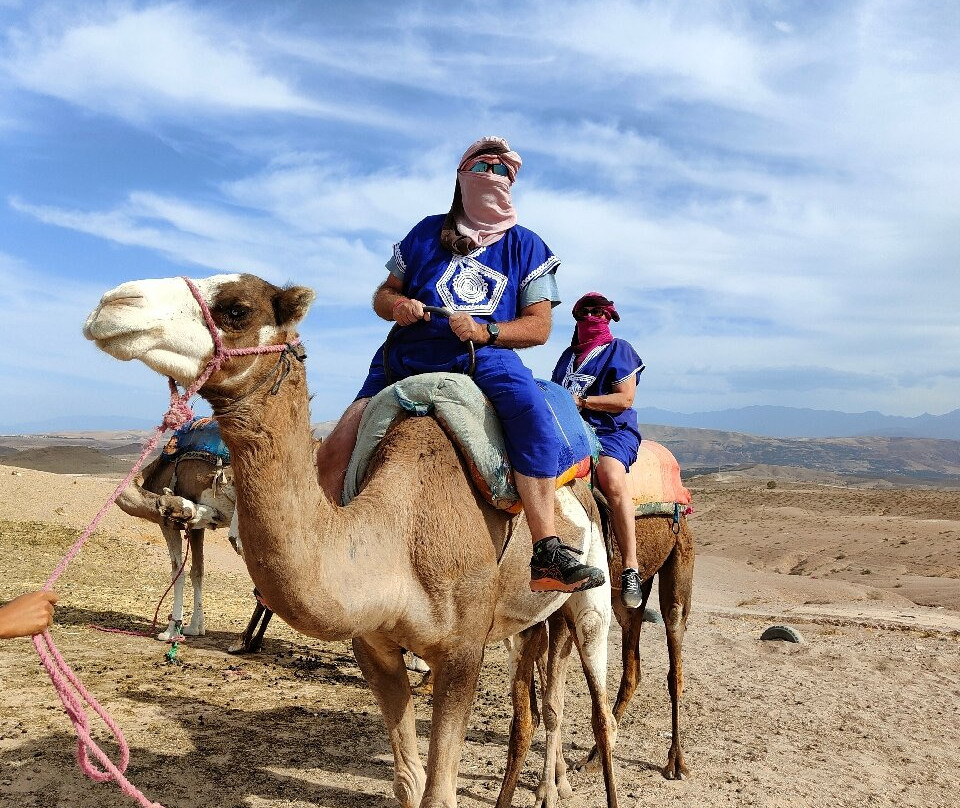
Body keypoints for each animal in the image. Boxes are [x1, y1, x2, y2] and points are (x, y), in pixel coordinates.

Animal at [86, 274, 620, 808]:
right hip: (525, 624)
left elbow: (439, 791)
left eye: (236, 309)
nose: (112, 303)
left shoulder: (464, 652)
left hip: (590, 598)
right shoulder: (373, 645)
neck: (402, 534)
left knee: (598, 712)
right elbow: (408, 781)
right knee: (535, 712)